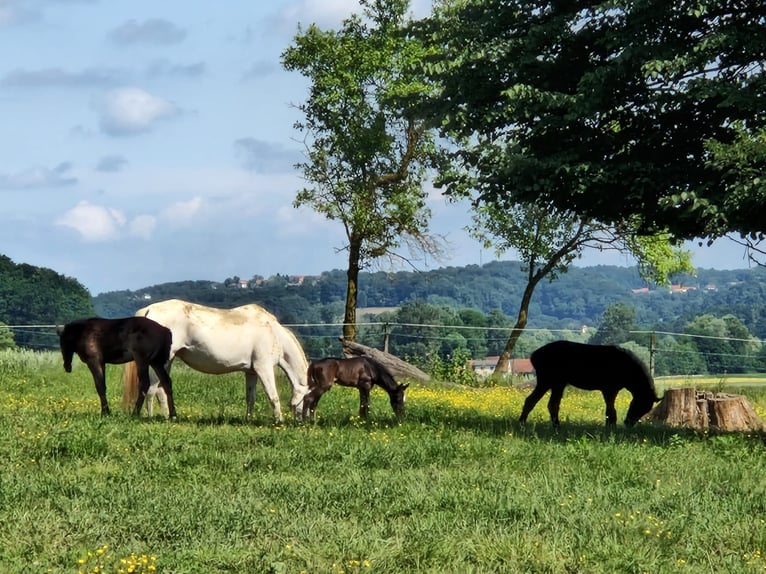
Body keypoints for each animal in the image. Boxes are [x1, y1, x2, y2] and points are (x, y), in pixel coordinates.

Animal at [123, 300, 308, 426]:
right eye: (308, 398)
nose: (304, 422)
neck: (273, 332)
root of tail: (150, 309)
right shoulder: (264, 368)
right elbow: (273, 397)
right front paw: (279, 421)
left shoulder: (251, 372)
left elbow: (251, 398)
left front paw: (248, 420)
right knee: (152, 390)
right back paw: (151, 418)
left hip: (166, 362)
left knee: (161, 390)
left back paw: (169, 417)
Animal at [520, 342, 664, 428]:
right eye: (638, 404)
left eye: (646, 409)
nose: (628, 423)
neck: (626, 366)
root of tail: (534, 355)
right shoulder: (609, 390)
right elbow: (611, 410)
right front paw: (610, 426)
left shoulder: (612, 390)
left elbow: (610, 409)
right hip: (547, 382)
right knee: (533, 401)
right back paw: (523, 423)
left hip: (557, 384)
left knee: (550, 404)